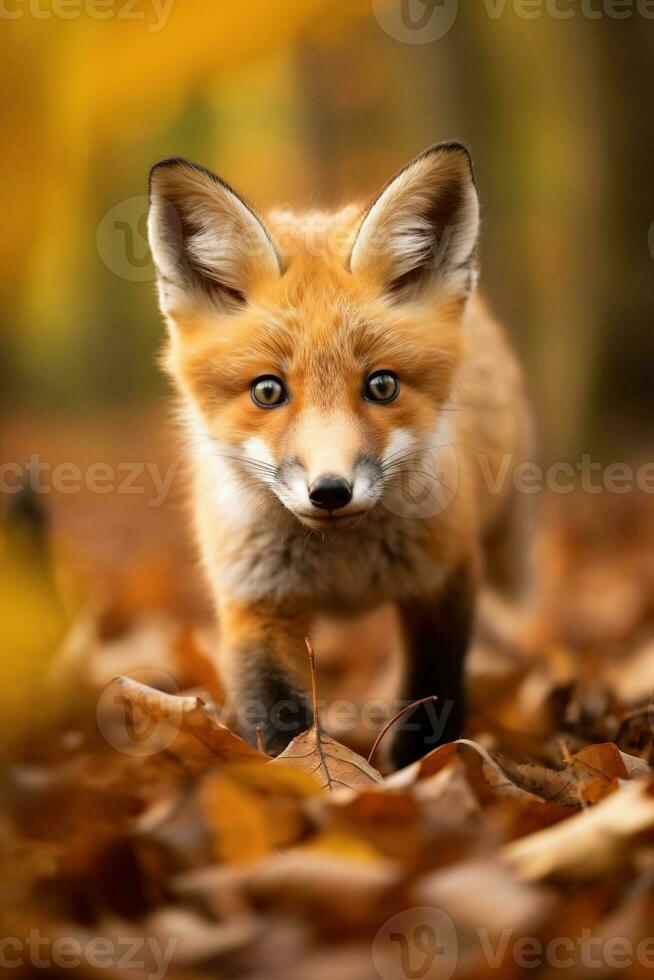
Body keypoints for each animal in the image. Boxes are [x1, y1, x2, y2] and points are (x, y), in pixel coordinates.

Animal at [147, 144, 532, 764]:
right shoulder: (256, 602)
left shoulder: (445, 578)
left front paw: (421, 771)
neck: (342, 566)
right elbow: (280, 719)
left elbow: (432, 696)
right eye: (268, 391)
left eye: (382, 386)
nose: (330, 491)